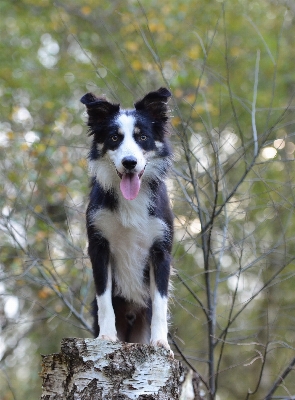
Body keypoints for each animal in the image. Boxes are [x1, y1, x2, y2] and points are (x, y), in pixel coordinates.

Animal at [80, 86, 173, 350]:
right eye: (114, 138)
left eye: (142, 137)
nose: (129, 163)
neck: (132, 199)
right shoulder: (99, 245)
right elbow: (104, 299)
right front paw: (106, 336)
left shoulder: (161, 249)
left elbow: (161, 301)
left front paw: (161, 342)